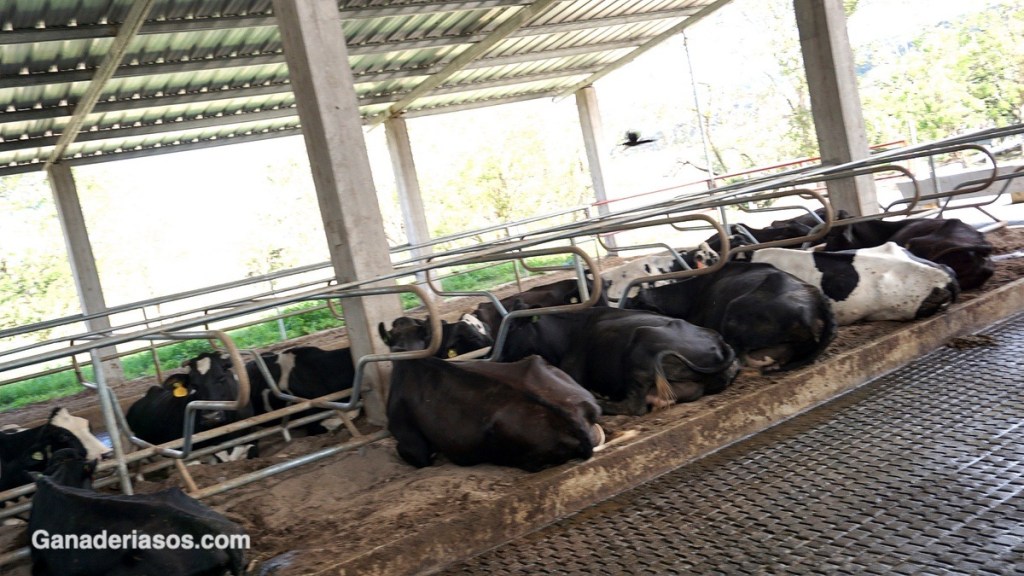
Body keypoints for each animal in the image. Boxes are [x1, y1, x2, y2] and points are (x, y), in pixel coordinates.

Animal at [498, 307, 739, 415]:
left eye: (513, 329)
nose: (498, 357)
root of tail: (719, 343)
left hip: (640, 351)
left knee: (634, 406)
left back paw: (602, 401)